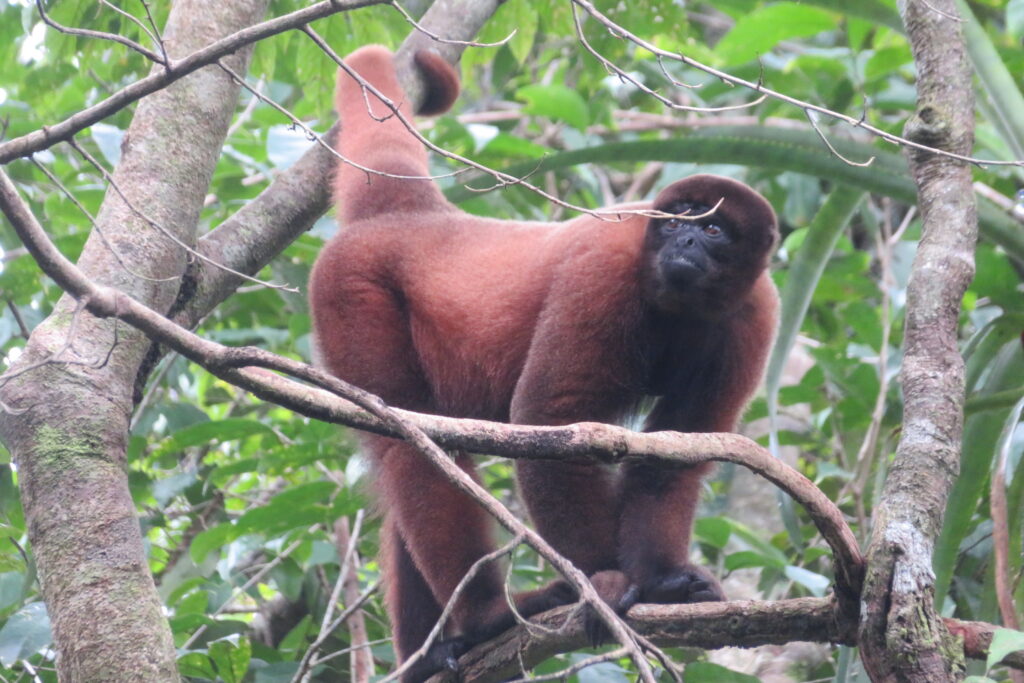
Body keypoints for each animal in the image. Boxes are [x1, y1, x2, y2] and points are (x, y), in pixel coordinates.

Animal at [309, 45, 779, 680]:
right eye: (676, 218)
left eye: (711, 227)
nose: (683, 240)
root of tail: (416, 218)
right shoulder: (603, 270)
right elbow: (550, 417)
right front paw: (603, 585)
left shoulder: (755, 315)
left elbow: (676, 453)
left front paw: (660, 581)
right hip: (350, 287)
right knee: (411, 447)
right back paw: (488, 617)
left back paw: (432, 654)